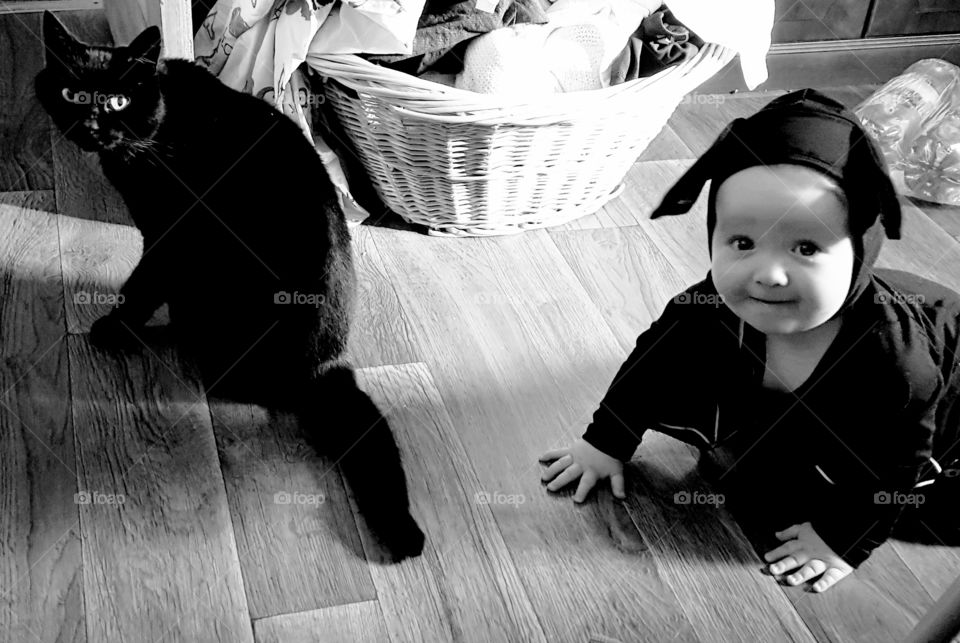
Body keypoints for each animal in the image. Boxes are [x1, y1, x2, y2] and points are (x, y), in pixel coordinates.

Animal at [36, 11, 424, 564]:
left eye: (117, 101)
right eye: (72, 93)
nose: (91, 127)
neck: (158, 128)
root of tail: (319, 369)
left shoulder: (171, 235)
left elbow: (142, 284)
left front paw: (114, 328)